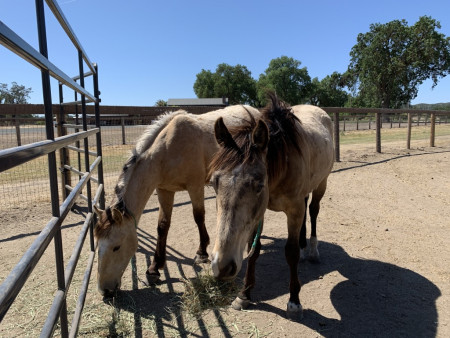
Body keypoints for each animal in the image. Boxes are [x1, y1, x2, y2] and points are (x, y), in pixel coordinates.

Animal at [93, 105, 260, 296]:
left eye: (117, 247)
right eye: (97, 246)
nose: (104, 290)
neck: (168, 150)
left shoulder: (195, 186)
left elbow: (198, 217)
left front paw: (202, 253)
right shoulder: (164, 190)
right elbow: (162, 226)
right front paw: (154, 268)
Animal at [208, 94, 334, 320]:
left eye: (259, 185)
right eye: (214, 183)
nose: (222, 267)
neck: (282, 163)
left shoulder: (293, 210)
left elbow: (290, 252)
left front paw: (294, 301)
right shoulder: (260, 213)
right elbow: (254, 250)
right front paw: (244, 294)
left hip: (322, 184)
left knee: (313, 211)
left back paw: (312, 250)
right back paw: (304, 248)